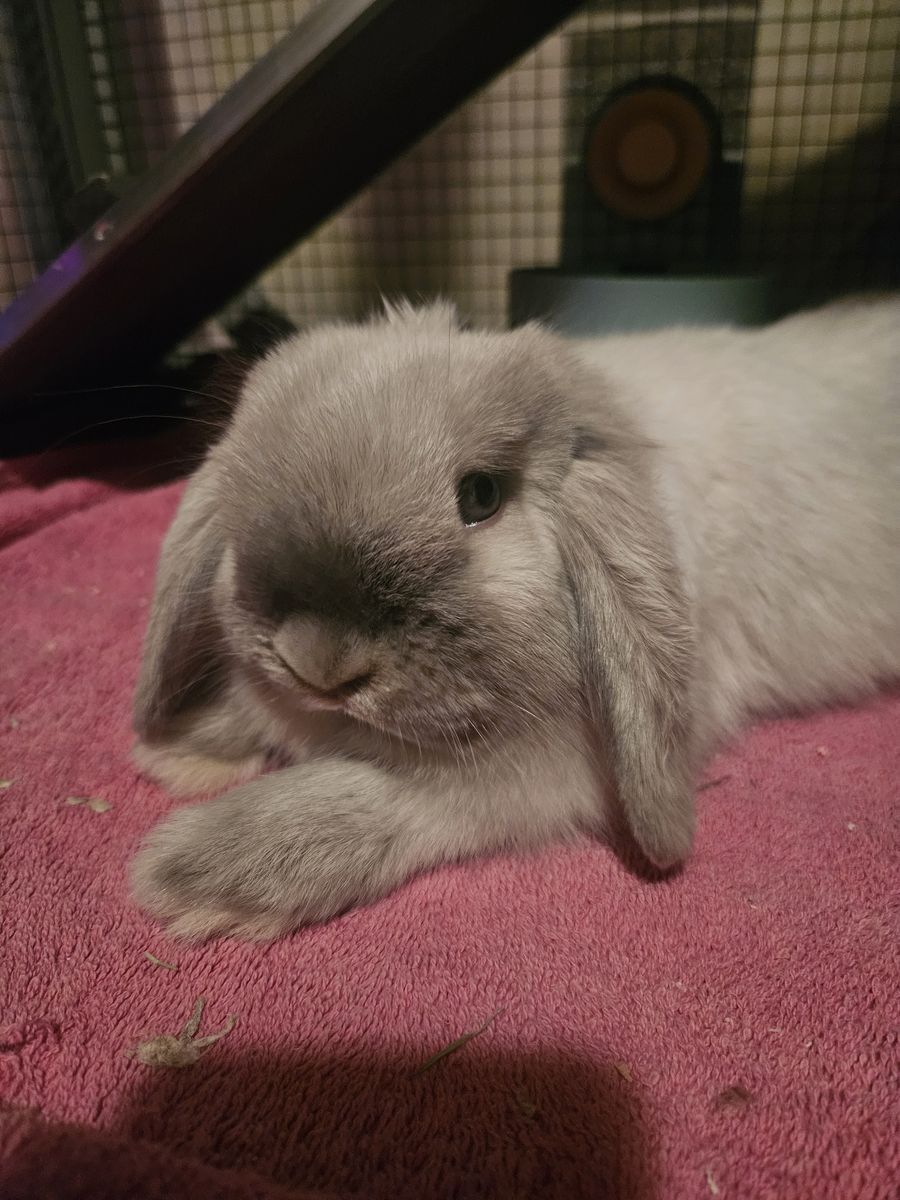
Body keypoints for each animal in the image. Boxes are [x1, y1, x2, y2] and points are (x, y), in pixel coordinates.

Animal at [129, 295, 900, 941]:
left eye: (481, 497)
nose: (318, 662)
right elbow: (260, 710)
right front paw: (185, 745)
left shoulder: (544, 776)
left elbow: (384, 793)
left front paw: (195, 877)